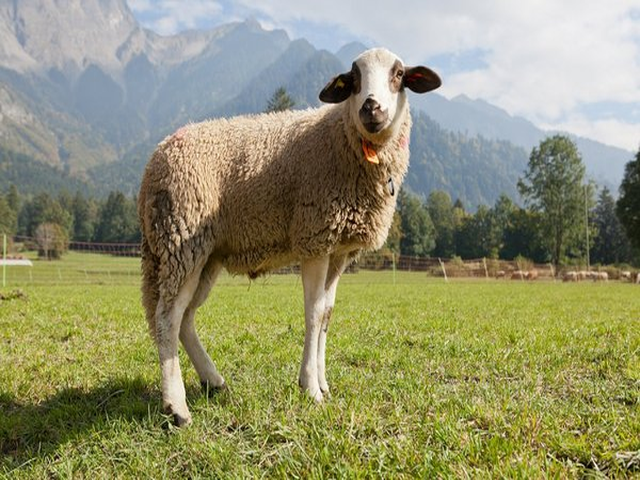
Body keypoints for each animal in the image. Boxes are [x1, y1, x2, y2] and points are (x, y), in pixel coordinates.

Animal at [137, 48, 441, 426]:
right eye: (354, 79)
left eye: (399, 75)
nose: (371, 108)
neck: (343, 142)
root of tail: (154, 161)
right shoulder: (314, 238)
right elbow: (313, 314)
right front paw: (310, 388)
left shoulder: (338, 249)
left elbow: (327, 315)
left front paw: (323, 384)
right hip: (181, 237)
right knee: (167, 317)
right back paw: (177, 407)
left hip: (204, 253)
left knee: (184, 318)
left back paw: (213, 381)